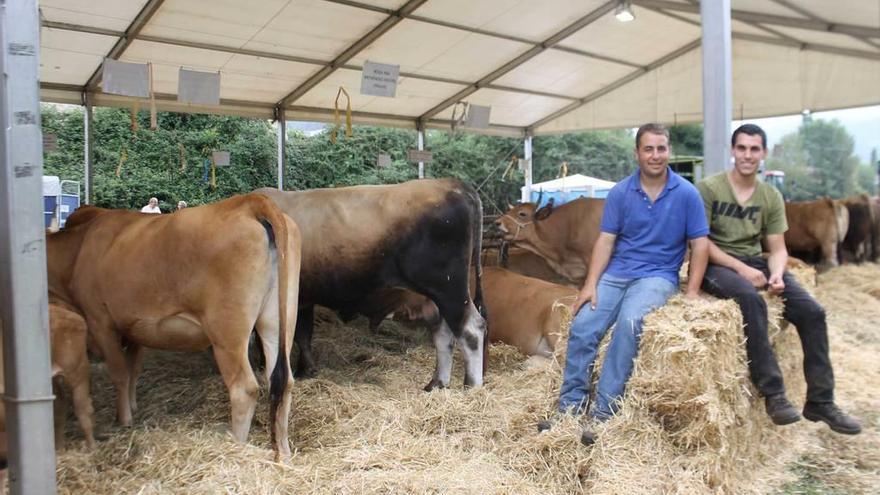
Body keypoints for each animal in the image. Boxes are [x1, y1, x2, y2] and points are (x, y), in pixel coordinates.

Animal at [46, 194, 300, 462]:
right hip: (279, 320)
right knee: (282, 381)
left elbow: (119, 372)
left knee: (244, 389)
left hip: (227, 332)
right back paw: (283, 454)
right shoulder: (135, 328)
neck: (78, 249)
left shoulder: (100, 321)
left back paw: (237, 448)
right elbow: (133, 369)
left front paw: (124, 419)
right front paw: (133, 407)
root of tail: (249, 202)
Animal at [254, 178, 488, 392]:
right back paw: (437, 383)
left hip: (449, 289)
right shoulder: (303, 297)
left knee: (471, 329)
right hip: (436, 296)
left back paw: (471, 387)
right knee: (444, 334)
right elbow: (302, 334)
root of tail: (452, 184)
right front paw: (306, 370)